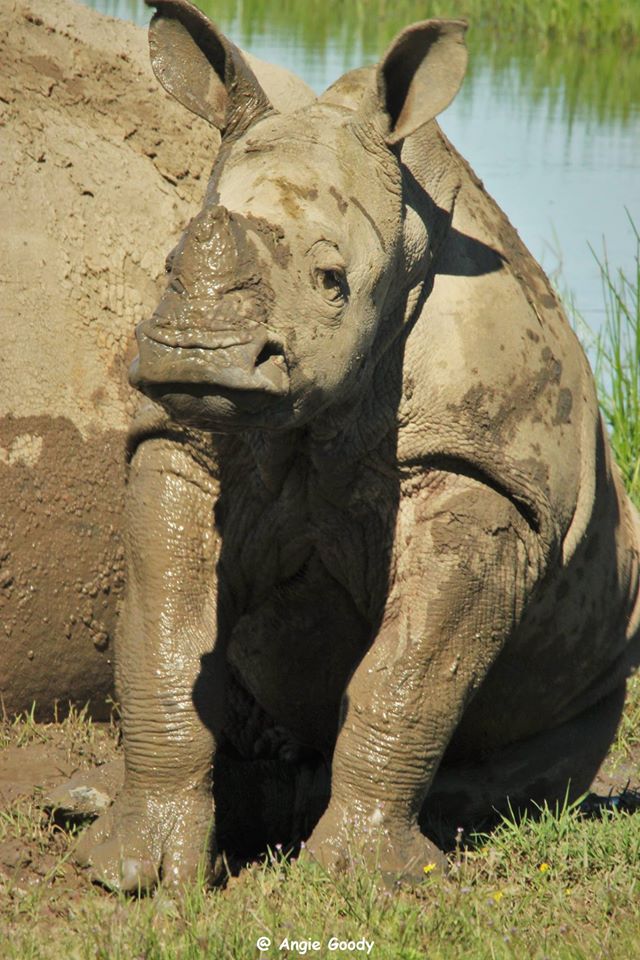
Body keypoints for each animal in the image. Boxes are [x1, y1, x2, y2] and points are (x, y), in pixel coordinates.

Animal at [76, 0, 640, 892]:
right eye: (170, 259)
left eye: (332, 281)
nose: (199, 355)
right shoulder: (180, 435)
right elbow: (162, 637)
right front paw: (134, 871)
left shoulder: (485, 473)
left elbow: (412, 675)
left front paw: (361, 879)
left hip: (609, 647)